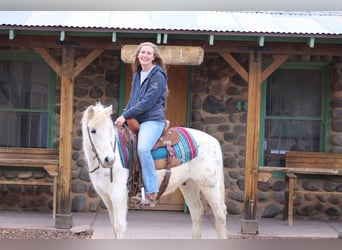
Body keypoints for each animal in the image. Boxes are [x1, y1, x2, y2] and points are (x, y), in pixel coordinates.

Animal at [81, 103, 227, 238]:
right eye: (93, 130)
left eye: (110, 130)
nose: (109, 159)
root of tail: (214, 141)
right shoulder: (106, 197)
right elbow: (113, 225)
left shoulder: (118, 194)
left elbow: (119, 226)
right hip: (189, 184)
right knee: (196, 211)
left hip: (209, 186)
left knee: (220, 213)